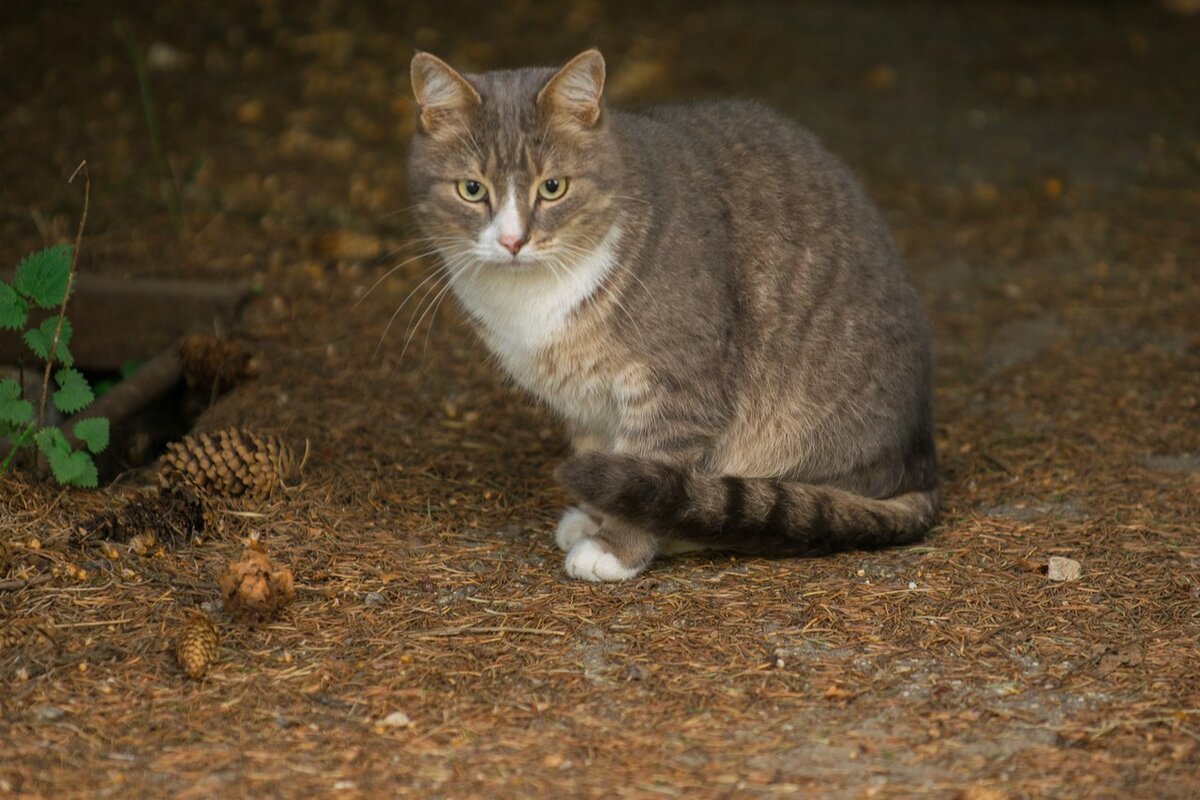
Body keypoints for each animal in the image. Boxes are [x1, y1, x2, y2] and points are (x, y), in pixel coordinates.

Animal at [408, 48, 940, 582]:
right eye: (471, 189)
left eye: (553, 187)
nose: (512, 241)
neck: (529, 300)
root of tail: (920, 463)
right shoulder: (585, 404)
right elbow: (607, 459)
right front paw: (594, 517)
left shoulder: (679, 389)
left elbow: (650, 472)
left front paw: (616, 548)